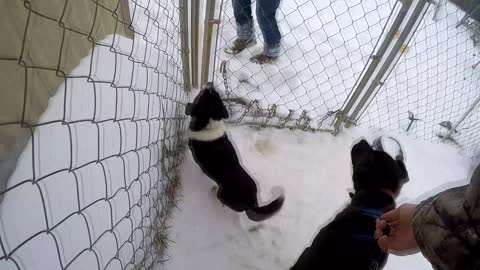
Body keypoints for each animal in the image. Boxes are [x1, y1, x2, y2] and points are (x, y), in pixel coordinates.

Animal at [185, 83, 284, 223]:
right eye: (217, 97)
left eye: (206, 95)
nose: (211, 83)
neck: (210, 122)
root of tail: (252, 203)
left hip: (224, 196)